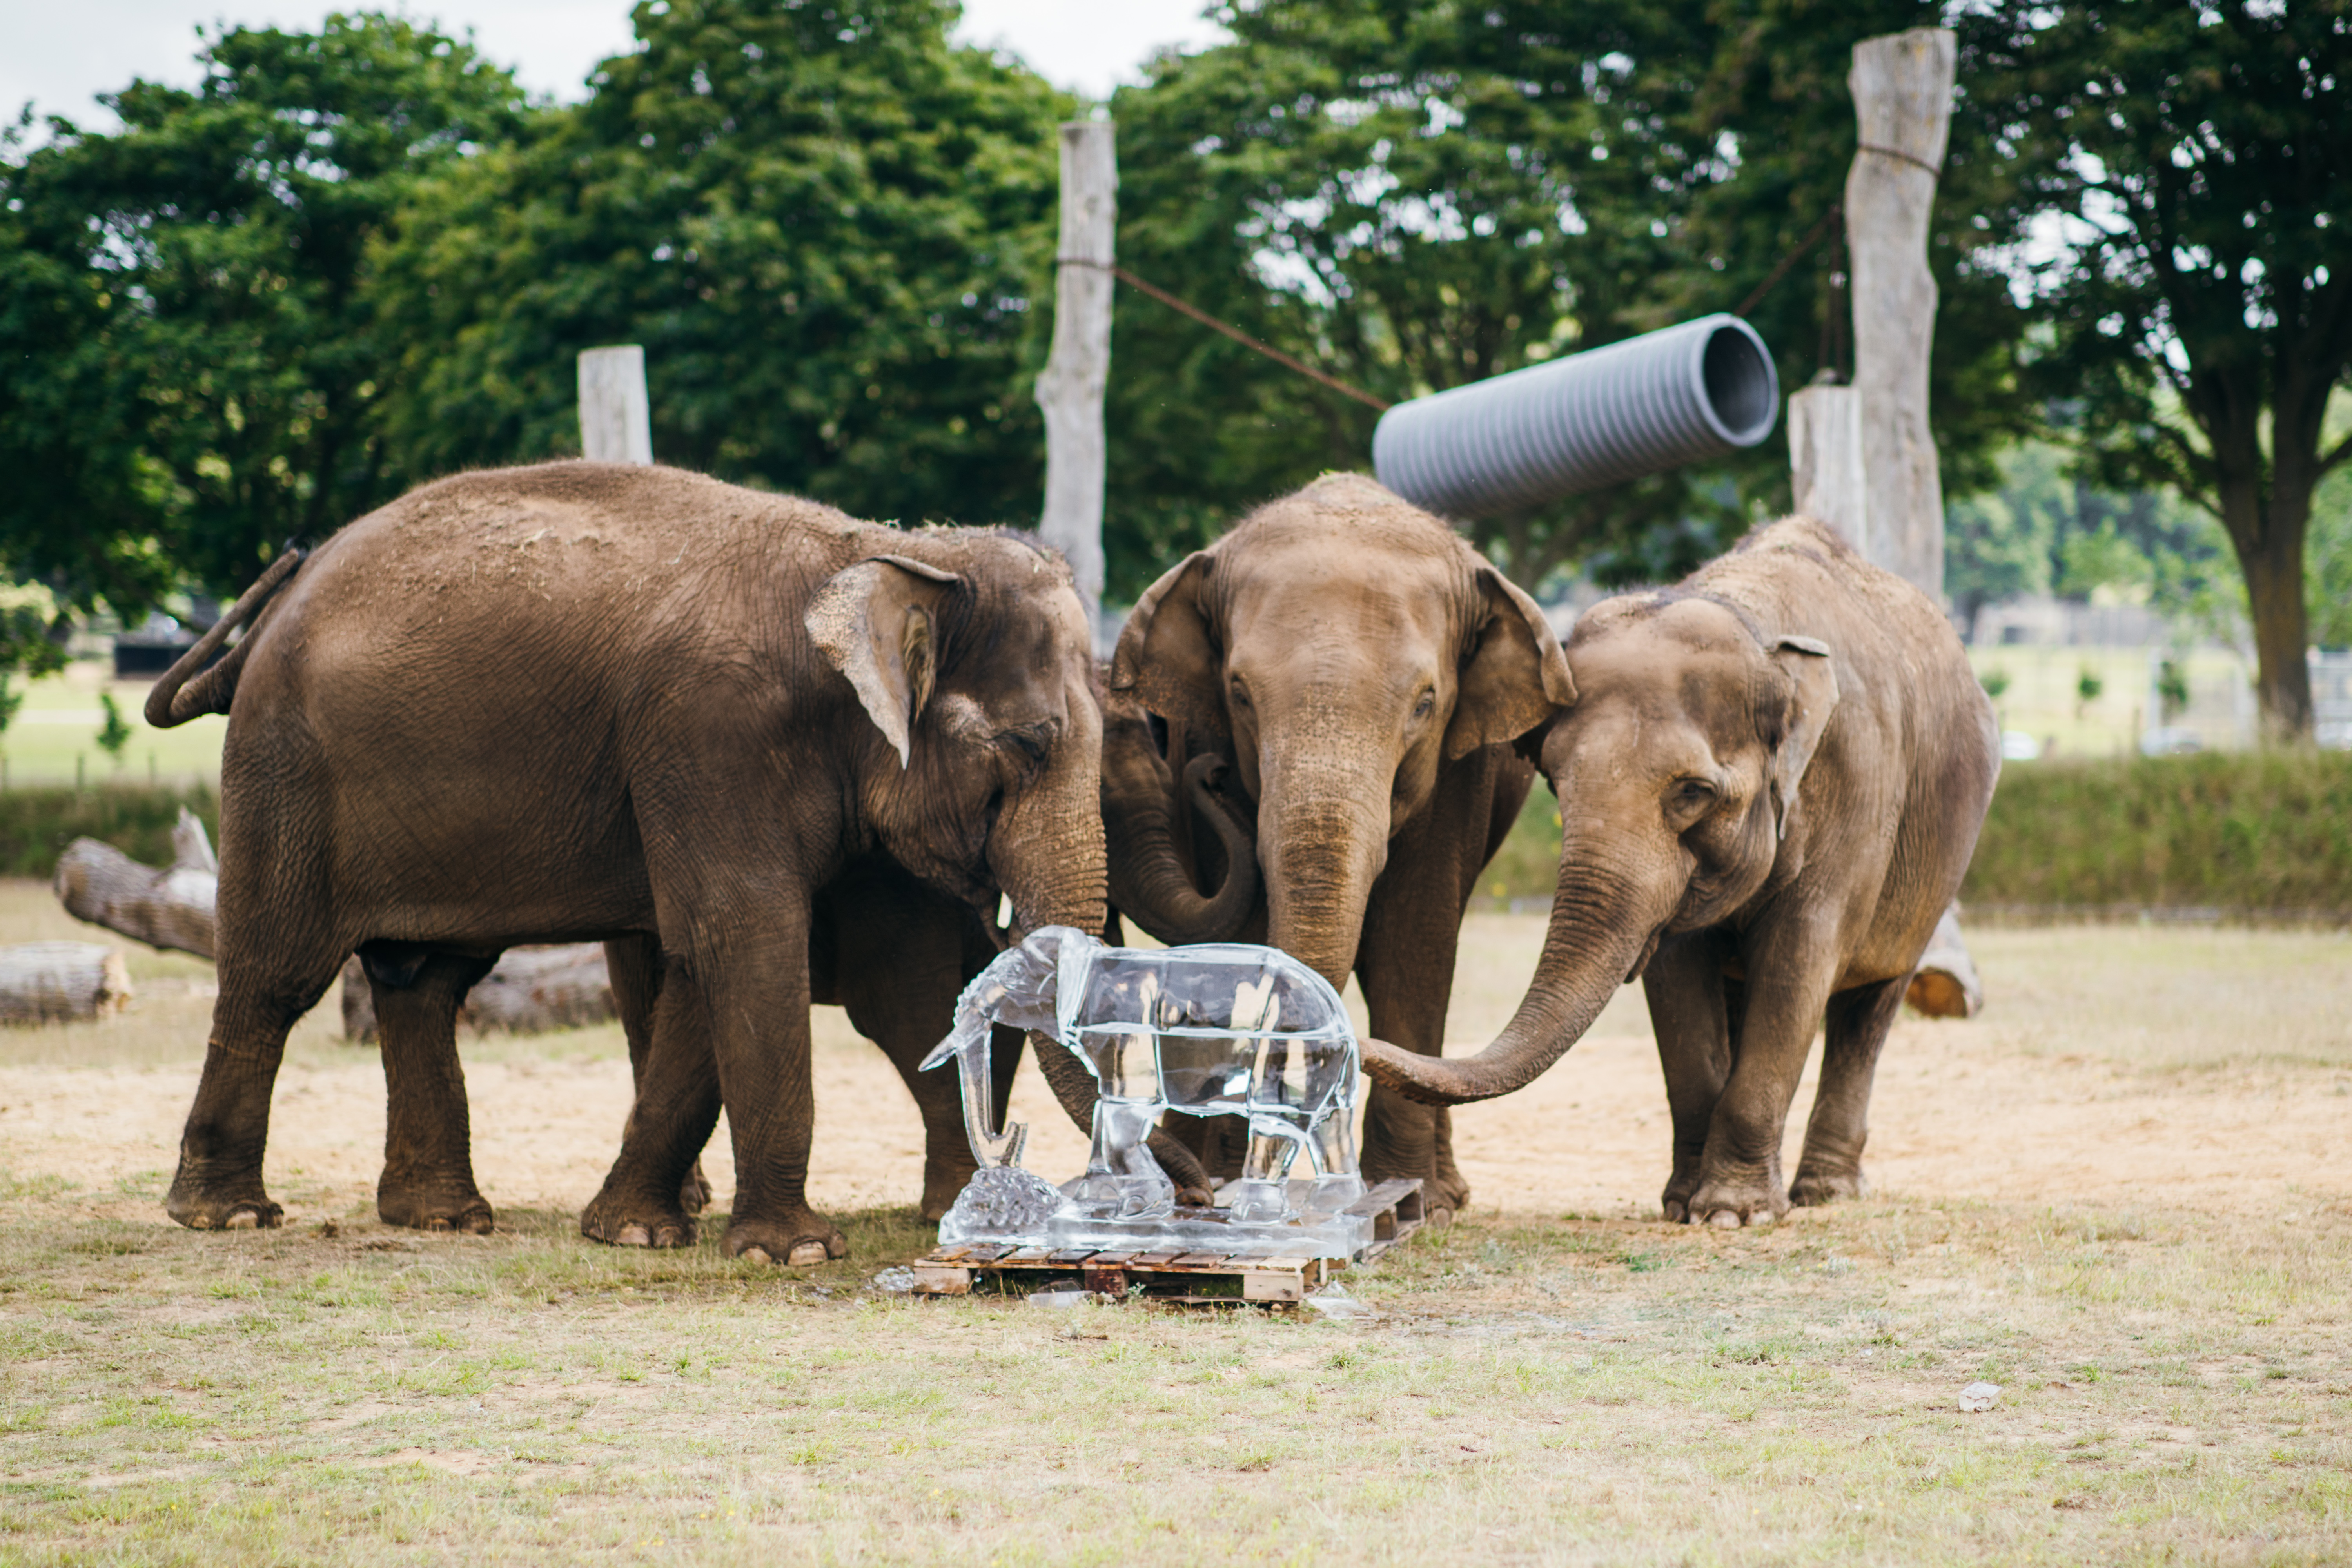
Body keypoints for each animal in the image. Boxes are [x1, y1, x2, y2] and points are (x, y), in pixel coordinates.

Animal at [149, 463, 1185, 1260]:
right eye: (1028, 747)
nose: (1186, 1185)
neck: (873, 554)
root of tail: (277, 607)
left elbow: (702, 961)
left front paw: (633, 1232)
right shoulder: (709, 732)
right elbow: (744, 937)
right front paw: (794, 1250)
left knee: (426, 979)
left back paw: (440, 1218)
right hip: (284, 766)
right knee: (277, 973)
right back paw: (229, 1214)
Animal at [1105, 472, 1581, 1222]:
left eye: (1425, 703)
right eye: (1240, 694)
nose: (1211, 777)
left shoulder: (1459, 774)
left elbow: (1414, 939)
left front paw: (1415, 1206)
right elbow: (1242, 934)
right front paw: (1222, 1180)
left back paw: (1447, 1192)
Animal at [1364, 522, 2004, 1232]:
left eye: (1694, 793)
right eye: (1553, 780)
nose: (1360, 1043)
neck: (1751, 624)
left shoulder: (1856, 792)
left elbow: (1799, 964)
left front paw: (1734, 1215)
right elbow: (1677, 981)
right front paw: (1683, 1207)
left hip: (1934, 870)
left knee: (1869, 1009)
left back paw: (1828, 1191)